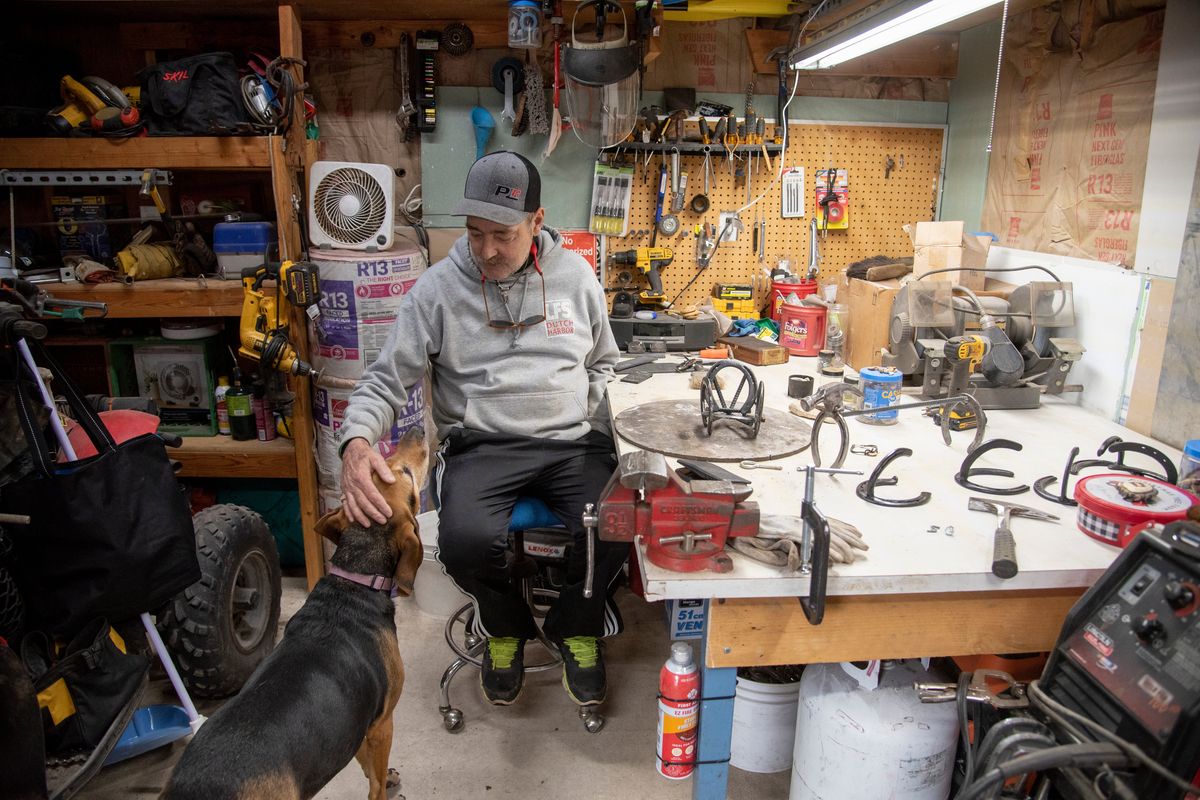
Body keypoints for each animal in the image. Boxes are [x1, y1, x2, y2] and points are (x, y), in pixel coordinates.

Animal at [162, 429, 429, 800]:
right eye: (403, 472)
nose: (416, 432)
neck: (353, 579)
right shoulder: (381, 723)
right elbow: (373, 781)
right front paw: (384, 786)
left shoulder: (355, 724)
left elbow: (364, 763)